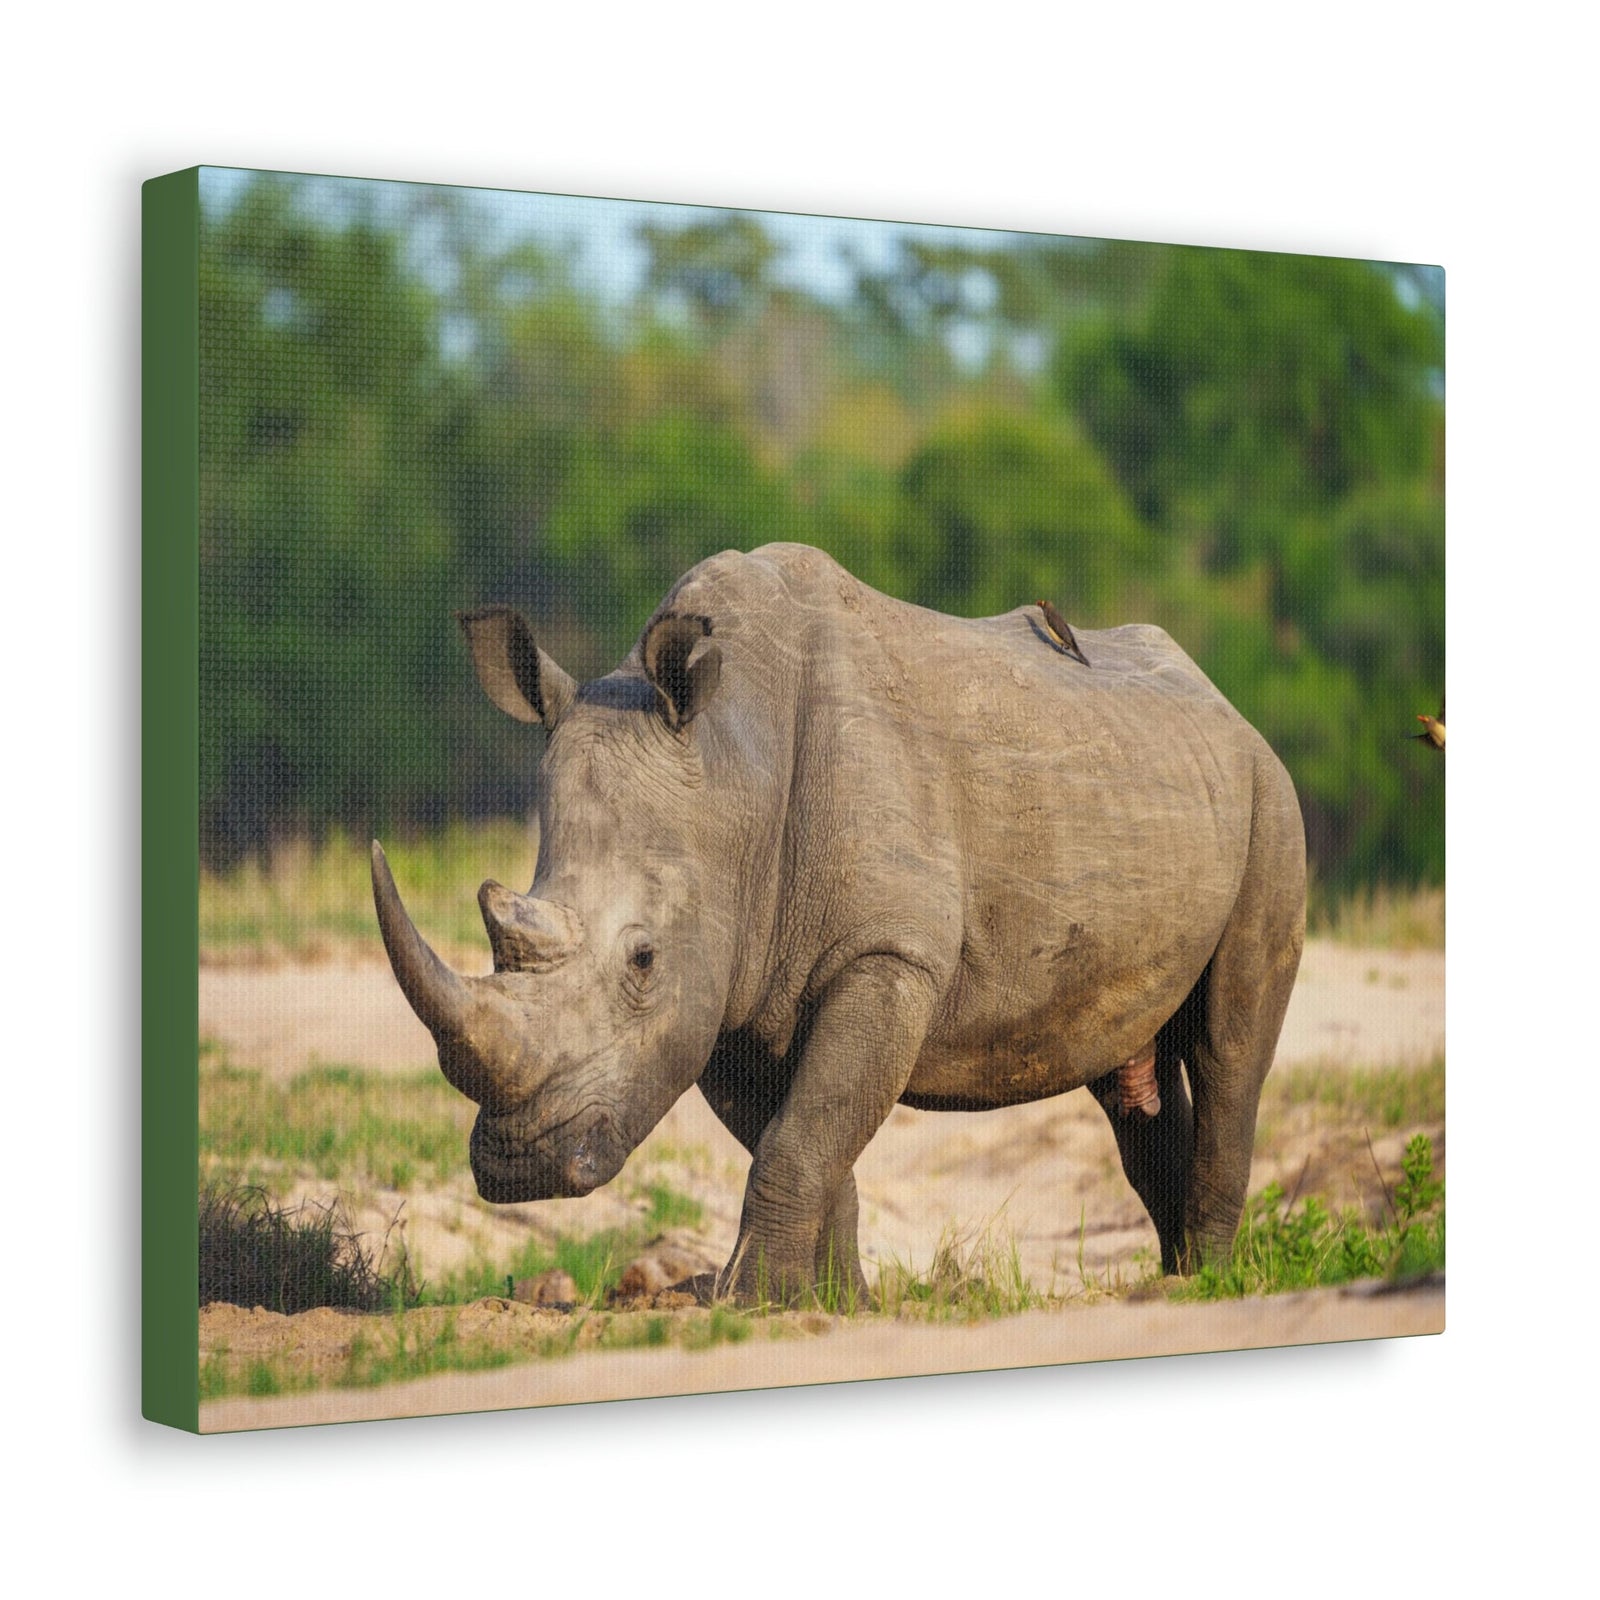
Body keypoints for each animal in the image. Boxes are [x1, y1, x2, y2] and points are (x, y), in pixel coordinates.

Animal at [372, 542, 1305, 1302]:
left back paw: (1209, 1284)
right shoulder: (728, 987)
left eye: (642, 960)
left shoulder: (885, 955)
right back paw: (1173, 1278)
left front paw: (748, 1302)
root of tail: (1221, 700)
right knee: (1128, 1078)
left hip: (1270, 796)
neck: (733, 761)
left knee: (1229, 1050)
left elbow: (802, 1135)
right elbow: (805, 1139)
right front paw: (828, 1303)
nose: (520, 1167)